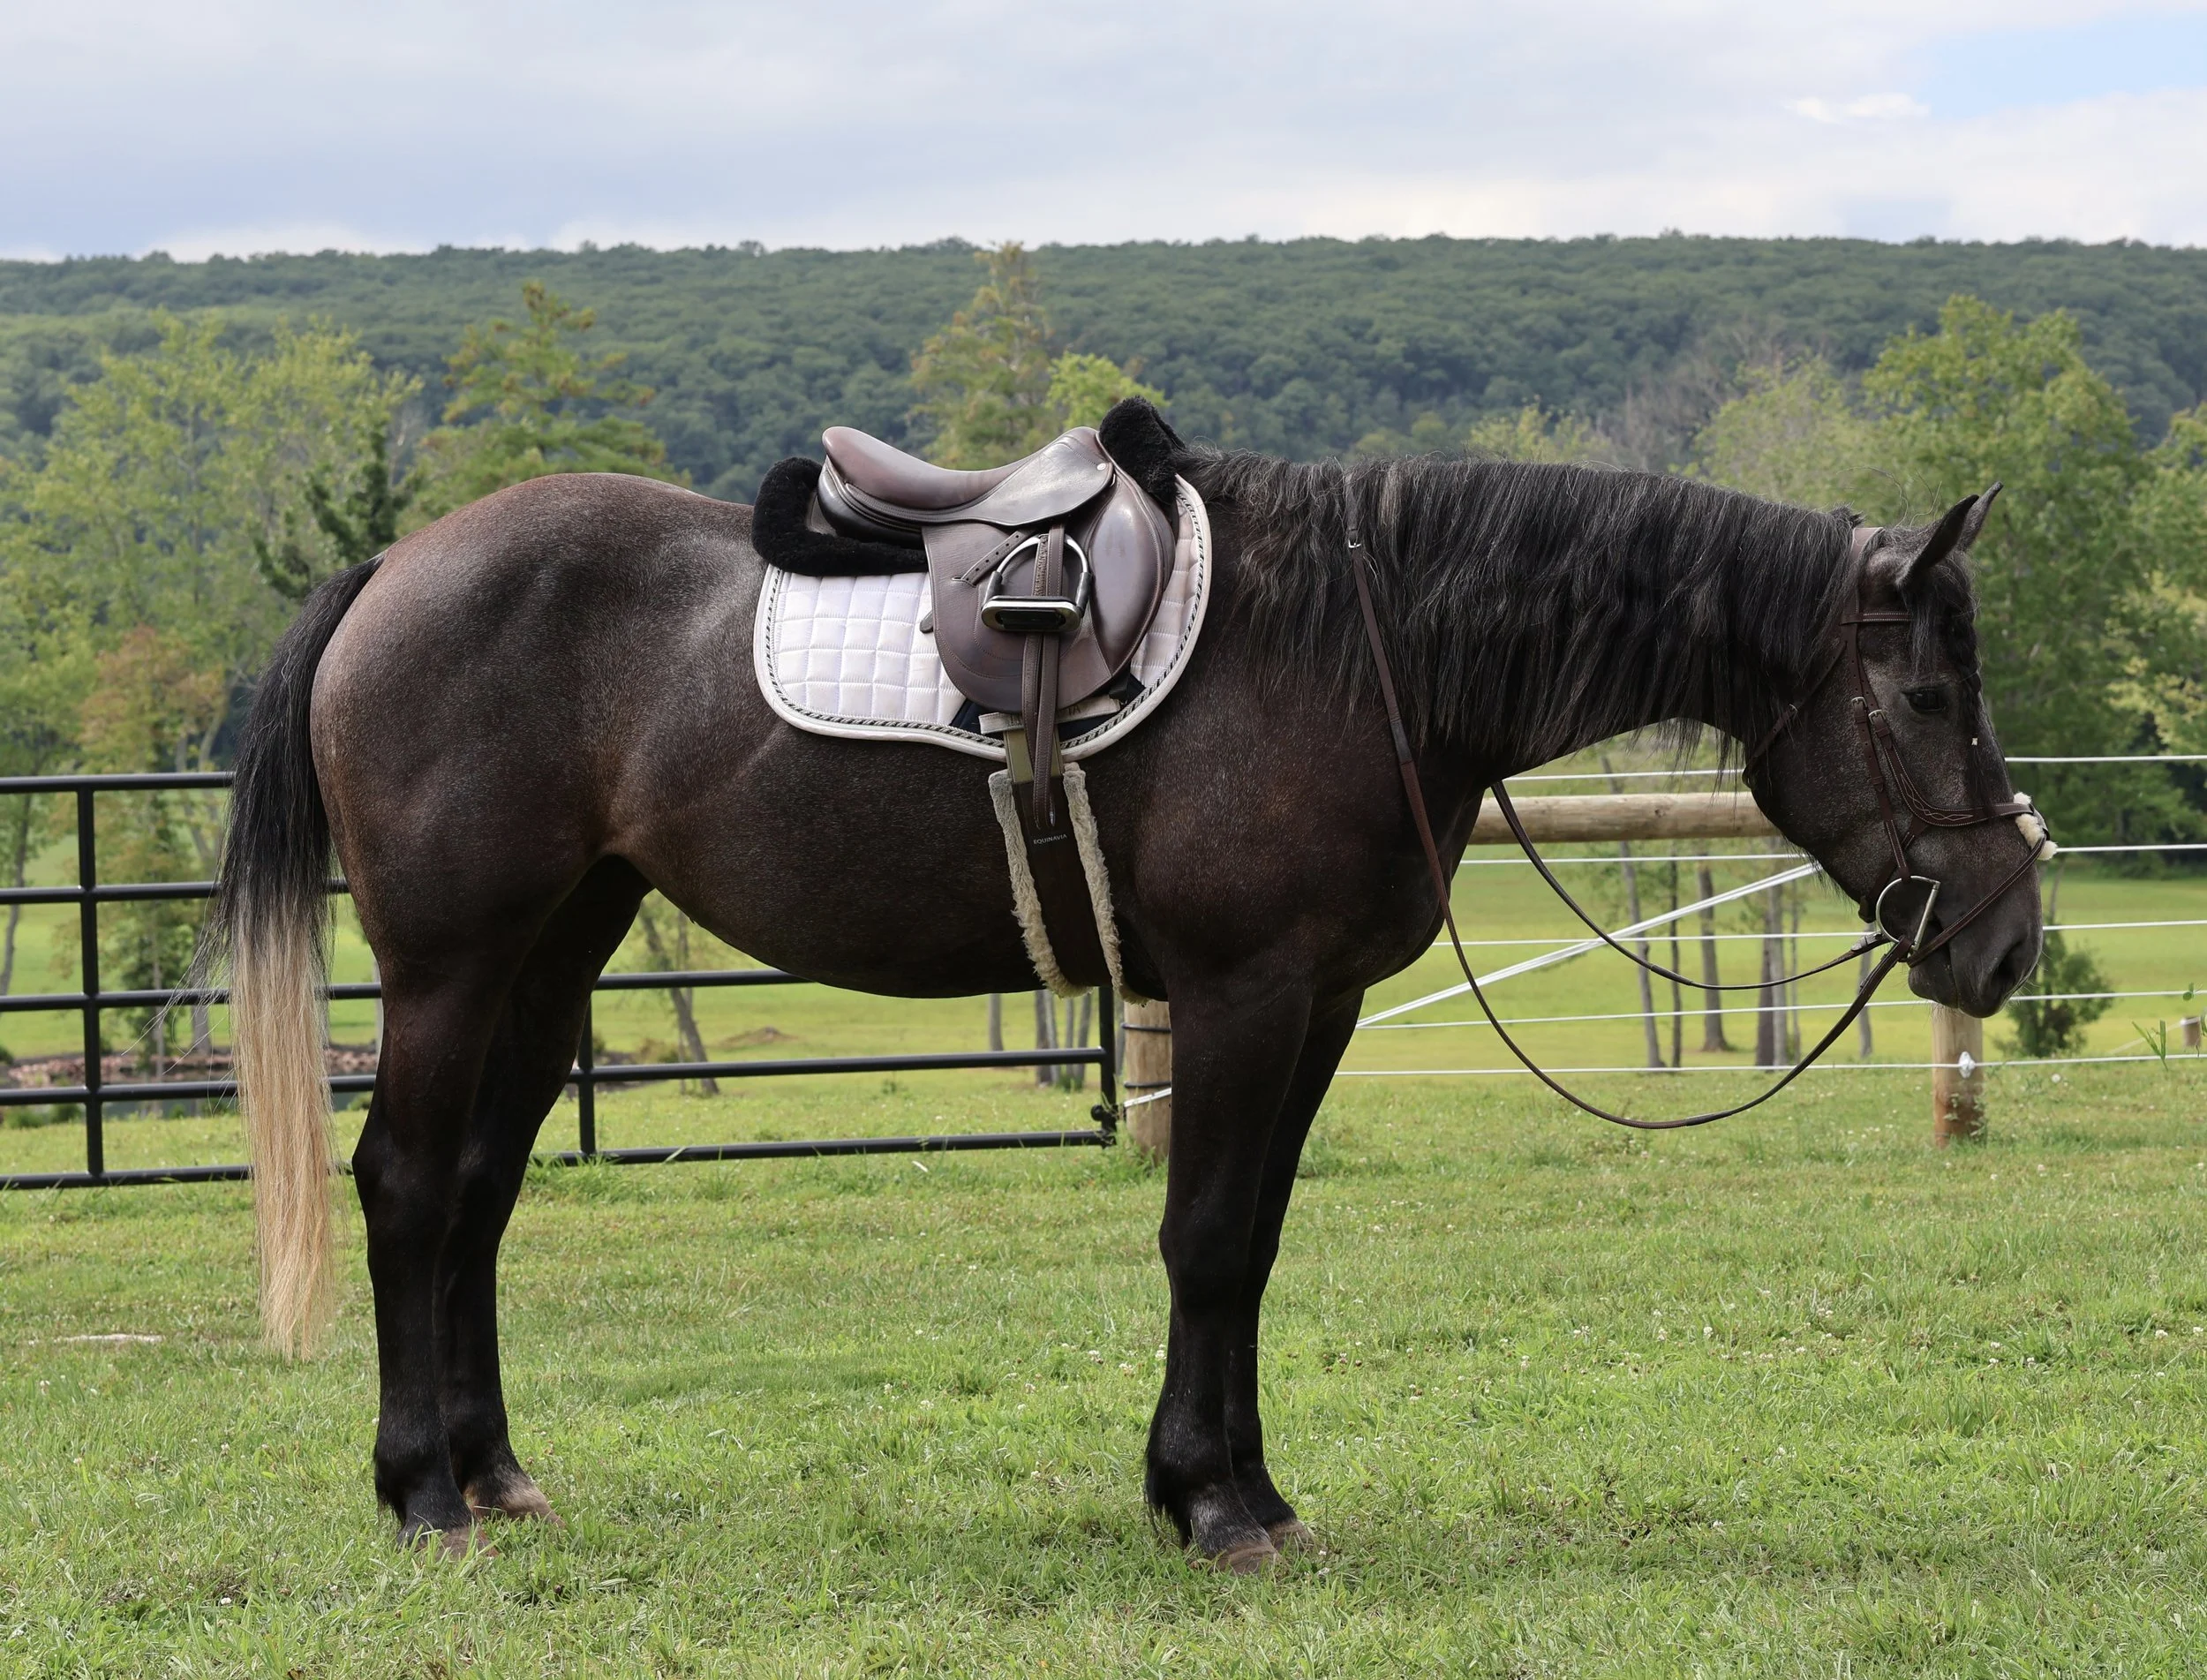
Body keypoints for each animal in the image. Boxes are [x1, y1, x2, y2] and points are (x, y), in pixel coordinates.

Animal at [208, 409, 2041, 1569]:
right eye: (1931, 695)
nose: (2010, 941)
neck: (1362, 648)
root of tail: (391, 570)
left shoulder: (1317, 1008)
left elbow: (1255, 1249)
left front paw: (1245, 1490)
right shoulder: (1242, 993)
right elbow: (1210, 1238)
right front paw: (1209, 1507)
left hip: (554, 953)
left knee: (478, 1195)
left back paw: (494, 1472)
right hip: (451, 963)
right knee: (408, 1183)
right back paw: (420, 1493)